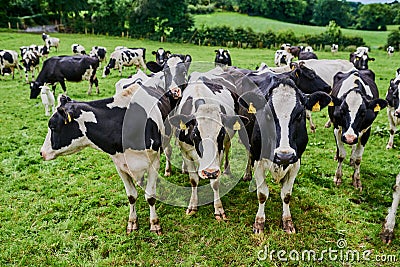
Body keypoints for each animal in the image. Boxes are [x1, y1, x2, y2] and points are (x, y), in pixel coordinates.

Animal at [40, 56, 192, 234]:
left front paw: (154, 223)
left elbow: (150, 196)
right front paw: (132, 221)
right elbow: (131, 195)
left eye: (52, 126)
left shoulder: (153, 162)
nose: (42, 152)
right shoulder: (120, 165)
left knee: (168, 151)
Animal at [168, 68, 247, 221]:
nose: (209, 172)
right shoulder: (185, 152)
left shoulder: (219, 152)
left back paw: (227, 170)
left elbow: (215, 182)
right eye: (195, 134)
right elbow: (193, 180)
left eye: (220, 133)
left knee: (228, 148)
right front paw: (192, 205)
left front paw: (219, 209)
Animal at [238, 77, 332, 234]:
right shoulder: (258, 161)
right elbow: (262, 194)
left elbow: (286, 195)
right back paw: (247, 174)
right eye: (267, 115)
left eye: (299, 114)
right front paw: (259, 222)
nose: (284, 156)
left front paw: (287, 222)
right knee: (248, 153)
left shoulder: (296, 162)